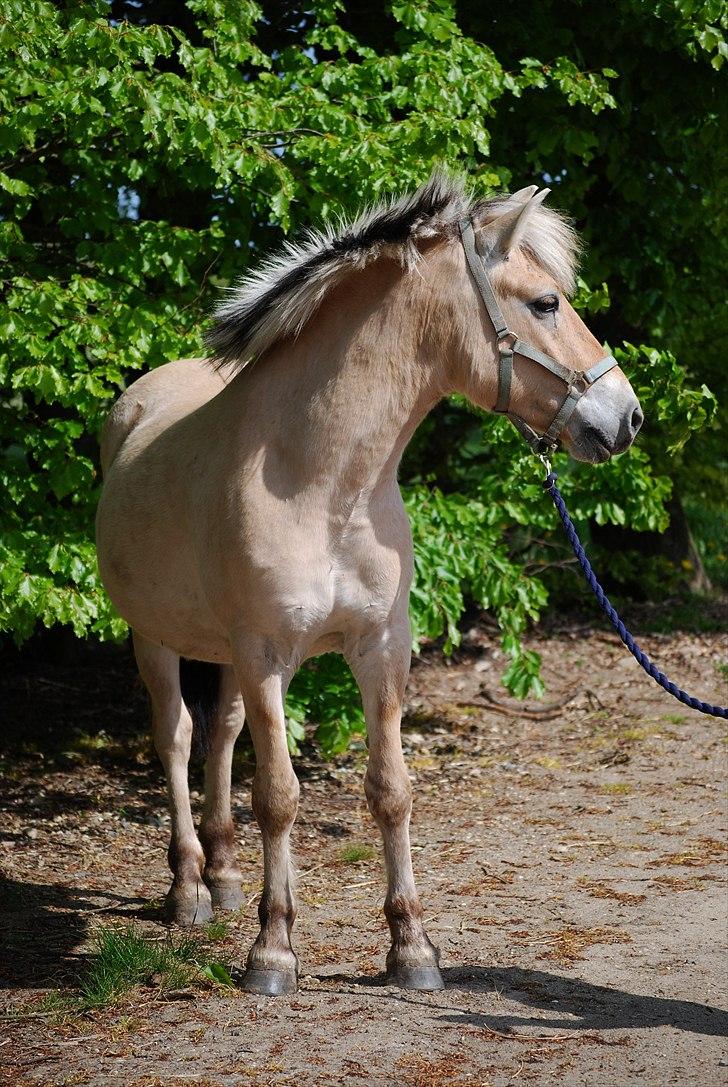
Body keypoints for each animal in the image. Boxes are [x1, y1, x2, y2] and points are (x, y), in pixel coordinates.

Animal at [92, 173, 643, 995]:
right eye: (545, 302)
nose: (626, 417)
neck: (321, 481)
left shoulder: (381, 648)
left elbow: (391, 790)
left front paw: (411, 946)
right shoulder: (266, 656)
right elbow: (280, 796)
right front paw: (273, 949)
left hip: (219, 653)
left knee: (220, 736)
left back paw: (223, 875)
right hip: (155, 639)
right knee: (178, 737)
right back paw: (189, 887)